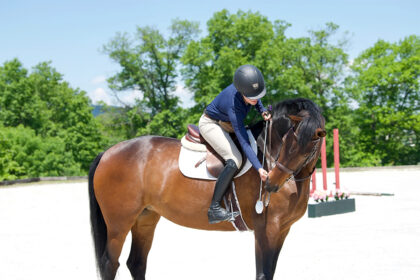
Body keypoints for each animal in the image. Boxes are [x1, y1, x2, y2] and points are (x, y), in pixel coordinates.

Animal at [88, 97, 324, 278]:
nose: (271, 183)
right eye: (287, 141)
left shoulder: (282, 230)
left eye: (309, 147)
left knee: (136, 263)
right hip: (119, 224)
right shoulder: (266, 230)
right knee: (110, 264)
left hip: (145, 219)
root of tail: (107, 152)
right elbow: (263, 274)